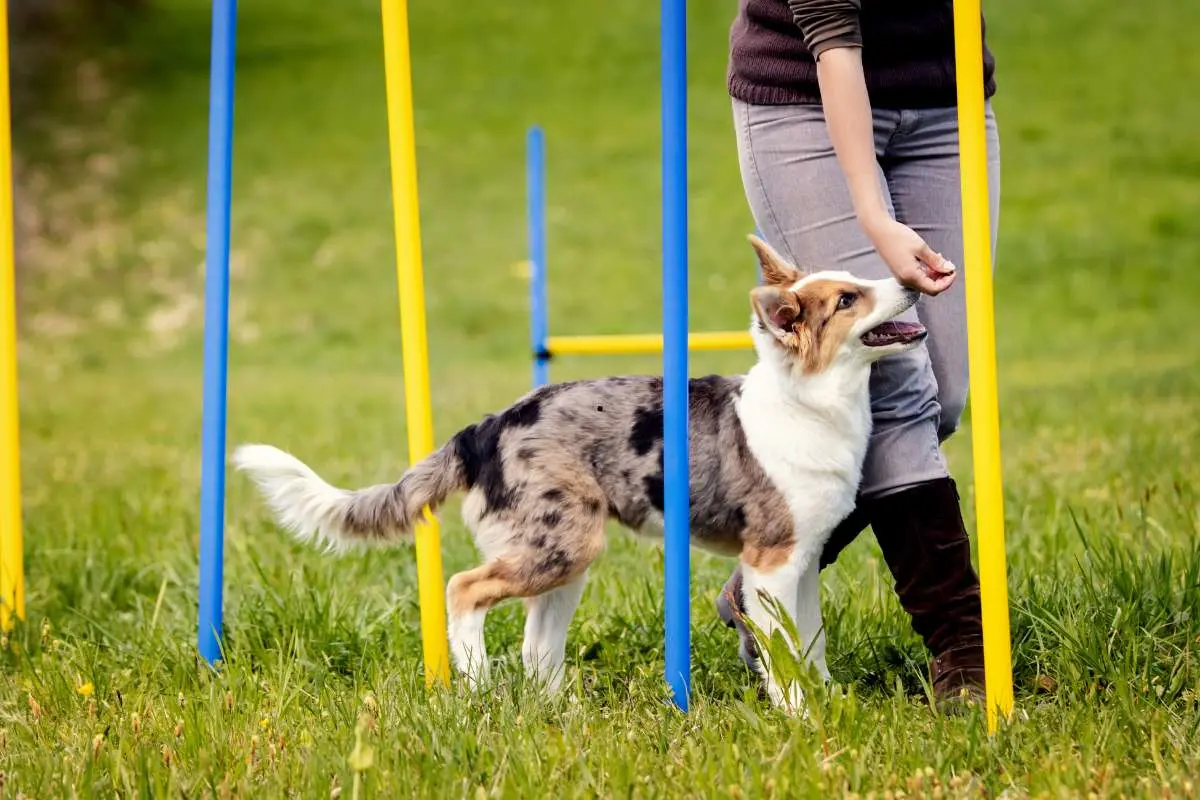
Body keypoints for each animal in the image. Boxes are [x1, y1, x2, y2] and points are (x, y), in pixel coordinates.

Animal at [234, 232, 926, 714]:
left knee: (536, 644)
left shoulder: (802, 563)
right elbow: (783, 655)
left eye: (856, 281)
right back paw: (478, 685)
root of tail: (487, 427)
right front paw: (800, 718)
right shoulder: (771, 562)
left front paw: (824, 702)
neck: (811, 402)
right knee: (463, 589)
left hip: (566, 555)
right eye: (847, 300)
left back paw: (552, 709)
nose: (911, 276)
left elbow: (810, 644)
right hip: (560, 544)